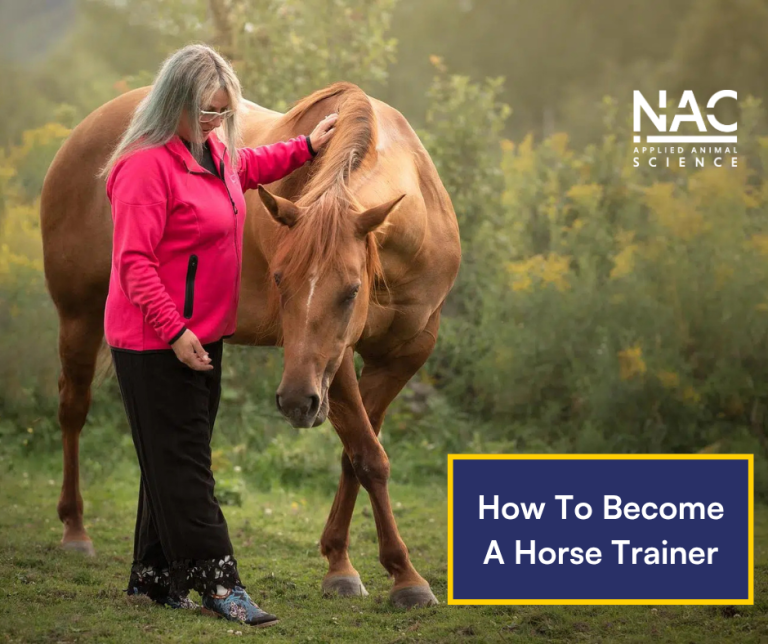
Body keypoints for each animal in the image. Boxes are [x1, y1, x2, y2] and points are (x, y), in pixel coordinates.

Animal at [40, 81, 461, 608]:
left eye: (351, 291)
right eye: (281, 282)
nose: (296, 401)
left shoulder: (402, 356)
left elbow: (356, 456)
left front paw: (341, 562)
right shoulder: (336, 362)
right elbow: (368, 455)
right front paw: (404, 576)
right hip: (78, 317)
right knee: (73, 410)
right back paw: (75, 530)